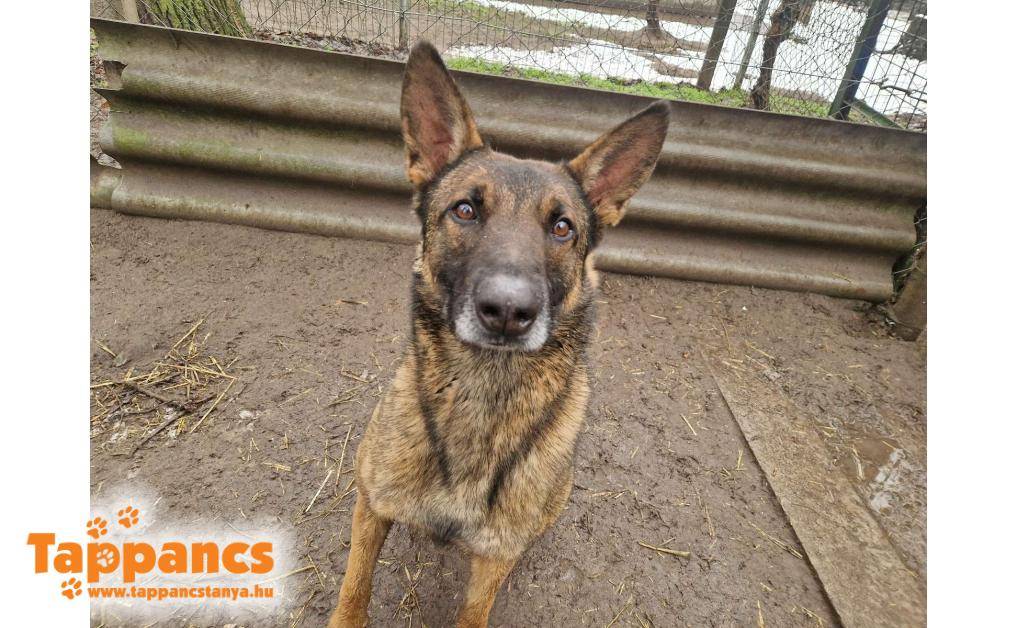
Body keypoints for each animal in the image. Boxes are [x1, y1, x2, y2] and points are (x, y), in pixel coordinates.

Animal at [328, 41, 669, 627]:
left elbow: (473, 612)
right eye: (465, 209)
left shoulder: (494, 558)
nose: (508, 311)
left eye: (562, 227)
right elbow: (355, 588)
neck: (481, 395)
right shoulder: (371, 506)